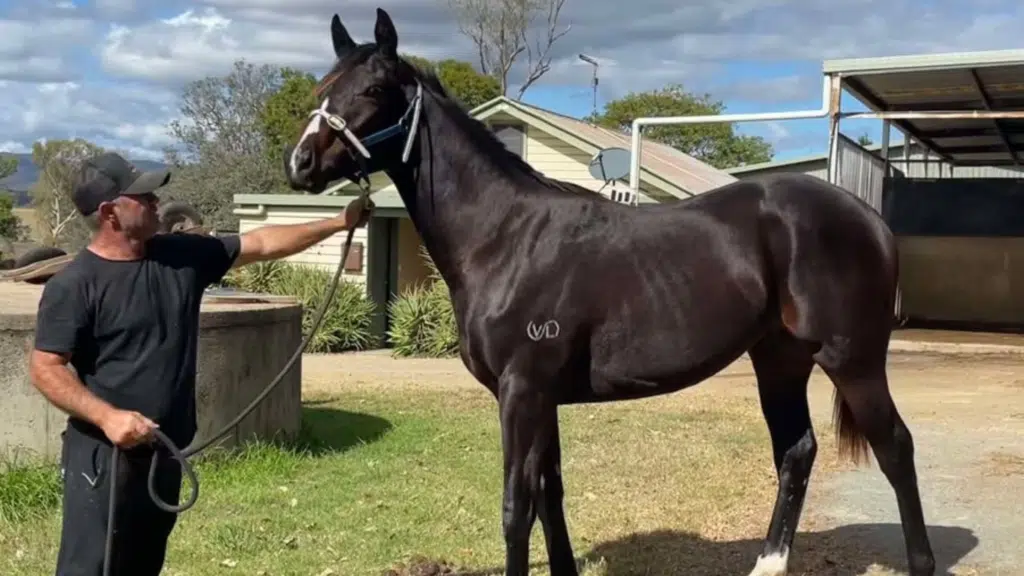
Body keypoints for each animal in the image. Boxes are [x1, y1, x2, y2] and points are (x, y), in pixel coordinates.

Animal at [281, 8, 936, 576]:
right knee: (796, 451)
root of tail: (871, 220)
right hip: (779, 359)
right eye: (323, 87)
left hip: (852, 360)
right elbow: (551, 495)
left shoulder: (522, 390)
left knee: (896, 449)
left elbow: (517, 507)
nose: (301, 163)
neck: (504, 236)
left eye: (373, 90)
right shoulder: (541, 396)